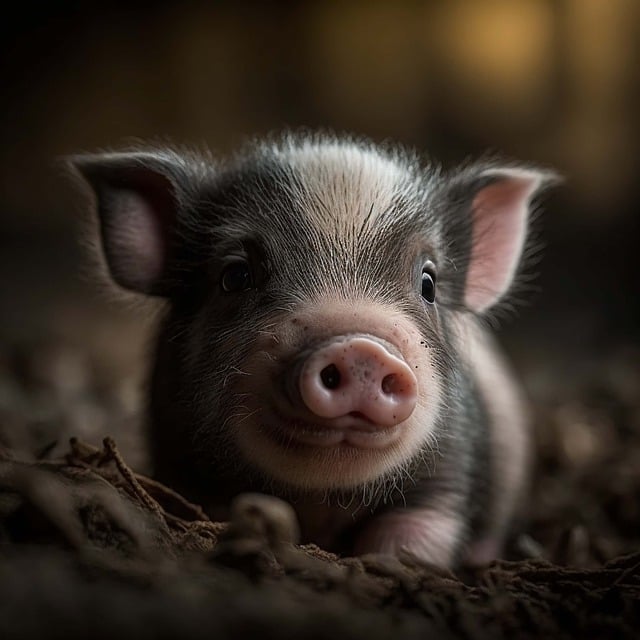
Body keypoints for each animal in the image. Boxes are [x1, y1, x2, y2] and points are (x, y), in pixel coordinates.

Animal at [69, 133, 555, 567]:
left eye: (429, 284)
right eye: (235, 276)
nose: (360, 350)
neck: (324, 501)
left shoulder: (450, 465)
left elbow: (415, 533)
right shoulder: (181, 455)